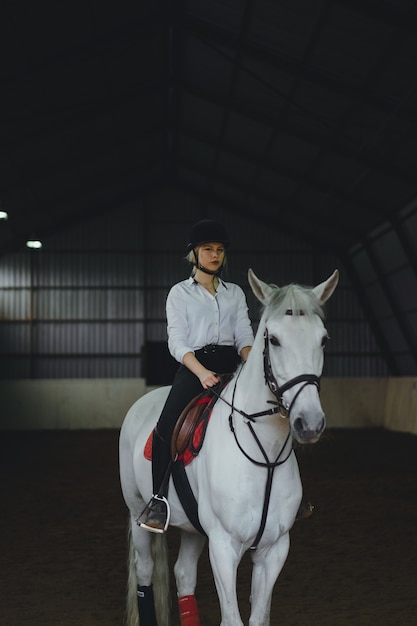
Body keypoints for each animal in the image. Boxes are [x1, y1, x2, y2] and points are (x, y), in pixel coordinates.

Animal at [118, 266, 338, 624]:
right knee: (145, 571)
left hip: (193, 528)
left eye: (323, 339)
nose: (309, 422)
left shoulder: (275, 549)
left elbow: (258, 616)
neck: (264, 455)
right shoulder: (223, 547)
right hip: (138, 509)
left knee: (183, 575)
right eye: (274, 340)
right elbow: (232, 619)